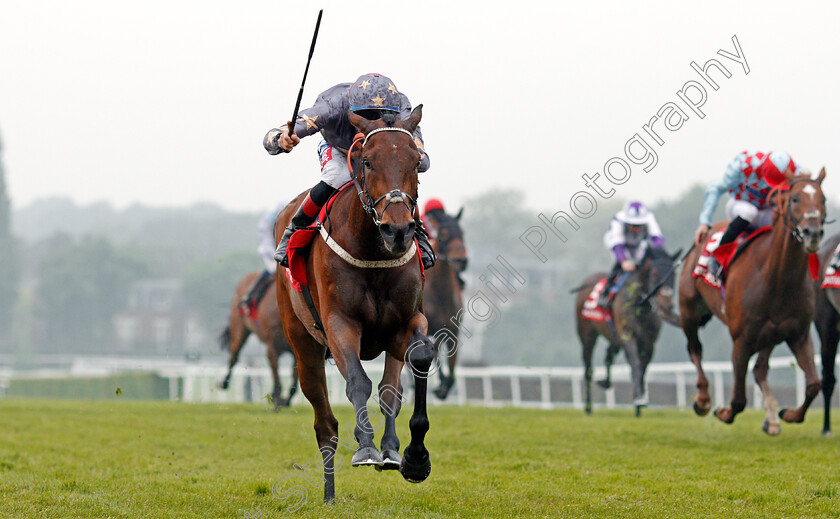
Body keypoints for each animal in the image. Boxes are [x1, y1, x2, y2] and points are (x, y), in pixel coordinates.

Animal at [220, 272, 298, 410]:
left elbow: (295, 382)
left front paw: (285, 401)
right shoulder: (272, 348)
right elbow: (277, 379)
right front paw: (277, 400)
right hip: (239, 328)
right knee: (234, 356)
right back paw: (224, 382)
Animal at [276, 106, 434, 504]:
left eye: (415, 161)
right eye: (367, 161)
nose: (399, 230)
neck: (373, 250)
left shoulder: (406, 323)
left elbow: (412, 368)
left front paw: (414, 458)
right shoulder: (339, 325)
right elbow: (358, 383)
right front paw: (365, 448)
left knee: (390, 390)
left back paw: (390, 450)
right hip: (303, 346)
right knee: (325, 424)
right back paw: (329, 493)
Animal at [572, 248, 684, 418]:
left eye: (674, 274)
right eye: (654, 274)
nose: (667, 305)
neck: (641, 305)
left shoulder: (649, 343)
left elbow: (643, 368)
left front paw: (639, 401)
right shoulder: (628, 336)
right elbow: (635, 363)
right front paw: (639, 400)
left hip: (614, 338)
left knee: (608, 356)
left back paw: (605, 382)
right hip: (587, 336)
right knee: (588, 368)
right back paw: (588, 407)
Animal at [680, 170, 824, 434]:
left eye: (823, 200)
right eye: (795, 199)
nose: (813, 232)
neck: (777, 277)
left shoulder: (798, 333)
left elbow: (813, 384)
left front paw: (789, 413)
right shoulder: (741, 339)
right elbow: (738, 399)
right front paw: (724, 412)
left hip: (770, 334)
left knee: (760, 369)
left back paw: (773, 419)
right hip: (689, 311)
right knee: (695, 348)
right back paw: (703, 399)